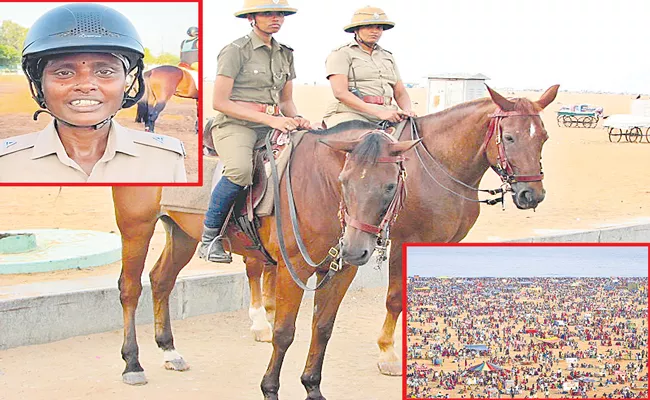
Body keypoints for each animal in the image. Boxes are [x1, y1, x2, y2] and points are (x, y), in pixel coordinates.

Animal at [112, 129, 418, 400]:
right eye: (344, 181)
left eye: (390, 186)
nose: (354, 249)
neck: (317, 186)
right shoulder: (292, 269)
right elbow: (283, 333)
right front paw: (270, 389)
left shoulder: (342, 272)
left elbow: (322, 329)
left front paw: (312, 388)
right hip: (137, 229)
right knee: (130, 289)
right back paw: (132, 364)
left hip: (182, 234)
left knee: (161, 280)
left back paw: (169, 351)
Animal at [372, 83, 560, 376]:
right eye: (509, 137)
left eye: (544, 137)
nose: (532, 194)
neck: (440, 166)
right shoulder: (403, 240)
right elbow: (395, 297)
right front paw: (387, 352)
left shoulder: (447, 241)